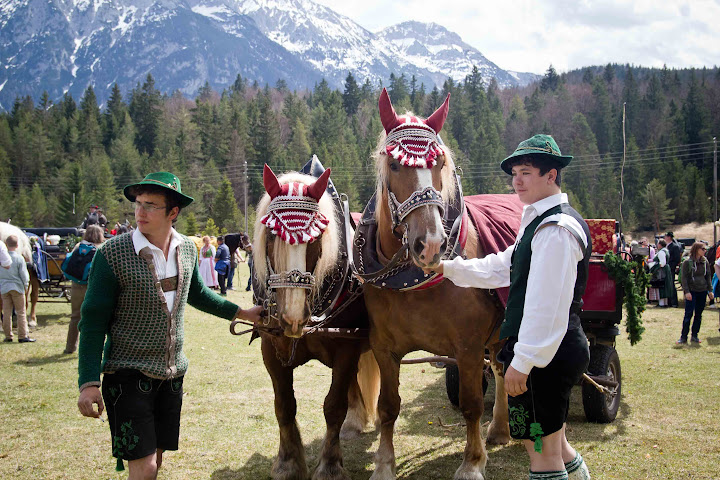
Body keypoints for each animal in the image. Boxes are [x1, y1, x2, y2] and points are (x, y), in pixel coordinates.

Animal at [250, 163, 380, 478]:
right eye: (270, 236)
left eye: (317, 239)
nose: (292, 316)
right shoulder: (270, 347)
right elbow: (284, 405)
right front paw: (288, 463)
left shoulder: (346, 346)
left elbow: (333, 406)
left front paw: (330, 465)